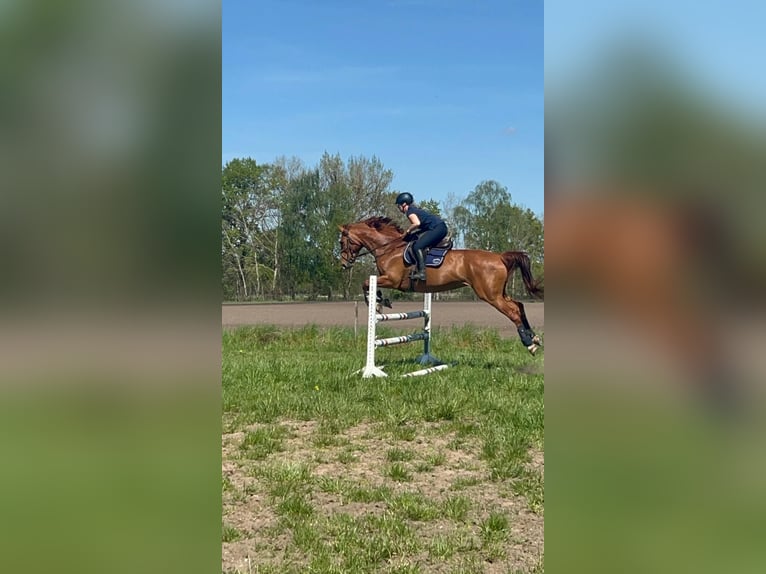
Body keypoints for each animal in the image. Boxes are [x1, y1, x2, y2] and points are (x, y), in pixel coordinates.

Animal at [338, 216, 544, 354]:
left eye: (341, 242)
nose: (344, 264)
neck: (389, 247)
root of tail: (500, 257)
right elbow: (368, 284)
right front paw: (380, 301)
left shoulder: (392, 279)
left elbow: (366, 283)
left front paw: (377, 302)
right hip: (499, 293)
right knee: (519, 305)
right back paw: (534, 337)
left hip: (490, 295)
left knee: (513, 312)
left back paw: (529, 344)